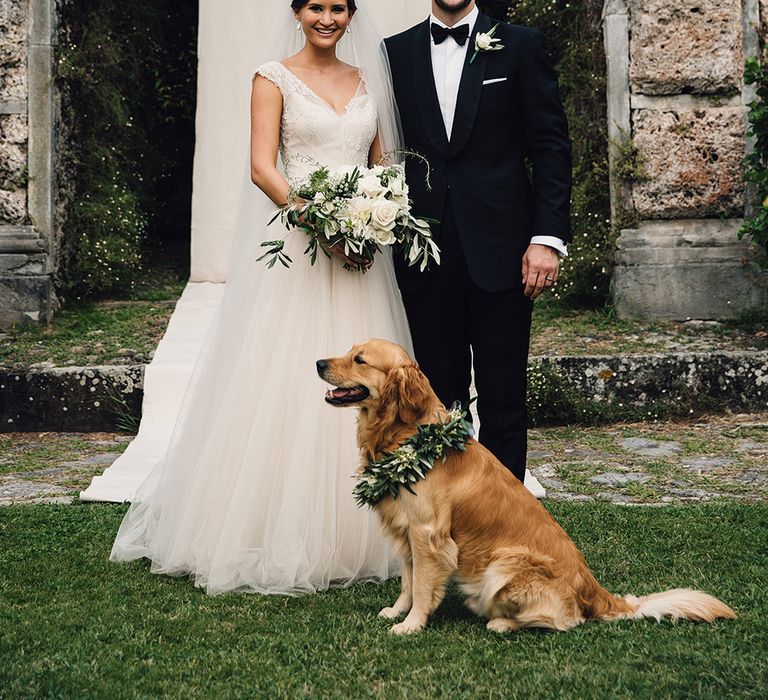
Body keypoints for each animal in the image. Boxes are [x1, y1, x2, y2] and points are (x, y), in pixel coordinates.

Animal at [318, 340, 736, 636]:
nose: (319, 363)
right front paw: (397, 610)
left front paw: (411, 625)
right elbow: (408, 580)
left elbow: (422, 586)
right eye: (350, 352)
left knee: (567, 621)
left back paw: (500, 622)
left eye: (360, 359)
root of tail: (594, 590)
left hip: (505, 563)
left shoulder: (429, 535)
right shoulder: (407, 530)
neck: (411, 435)